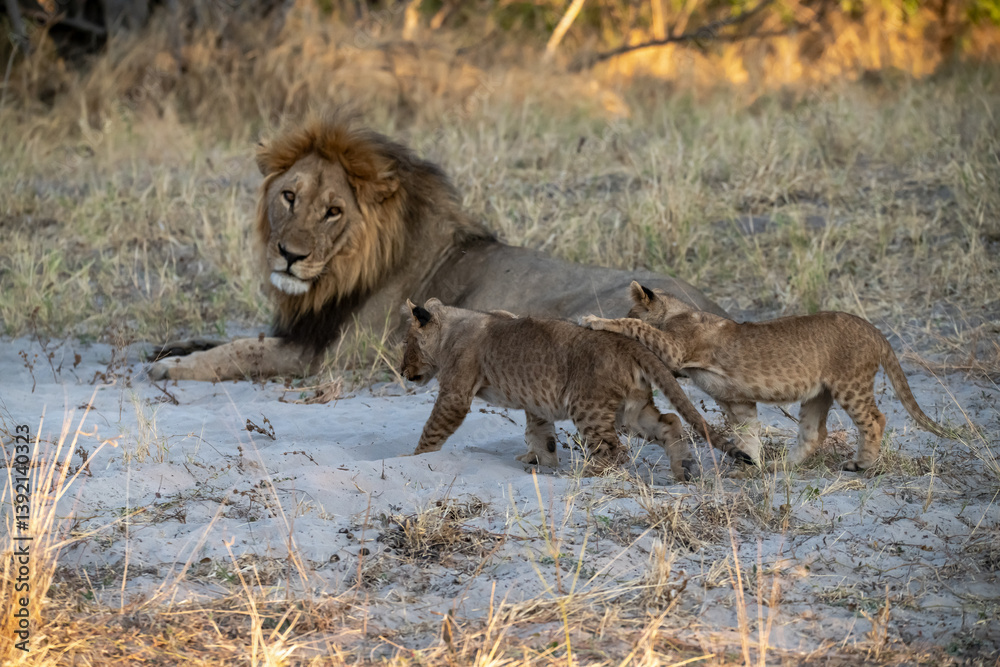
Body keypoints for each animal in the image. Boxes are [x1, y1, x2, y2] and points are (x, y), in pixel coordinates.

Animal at [148, 114, 727, 382]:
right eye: (289, 196)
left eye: (333, 211)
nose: (288, 255)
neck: (338, 273)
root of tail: (721, 312)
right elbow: (229, 338)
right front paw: (168, 349)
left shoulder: (329, 356)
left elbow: (242, 351)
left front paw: (170, 371)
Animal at [400, 298, 743, 480]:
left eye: (406, 344)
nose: (402, 372)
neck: (451, 327)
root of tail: (624, 341)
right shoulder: (534, 402)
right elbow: (540, 434)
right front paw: (541, 462)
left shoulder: (456, 394)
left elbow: (432, 430)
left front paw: (412, 459)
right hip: (631, 411)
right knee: (670, 421)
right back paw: (684, 468)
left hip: (588, 406)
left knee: (615, 450)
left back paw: (587, 473)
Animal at [583, 282, 951, 471]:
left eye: (629, 307)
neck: (680, 311)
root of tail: (873, 328)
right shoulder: (737, 400)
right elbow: (747, 433)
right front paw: (750, 465)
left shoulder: (675, 348)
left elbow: (637, 326)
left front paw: (597, 320)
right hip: (818, 393)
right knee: (814, 432)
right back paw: (783, 467)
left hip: (851, 385)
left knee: (875, 419)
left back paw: (861, 465)